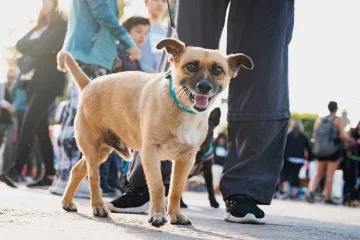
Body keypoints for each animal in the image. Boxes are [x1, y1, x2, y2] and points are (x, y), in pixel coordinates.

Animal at [56, 38, 253, 227]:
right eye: (190, 66)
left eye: (218, 70)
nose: (204, 86)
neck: (181, 107)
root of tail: (89, 84)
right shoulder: (151, 153)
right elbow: (158, 186)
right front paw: (157, 215)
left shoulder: (185, 159)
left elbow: (176, 190)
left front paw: (176, 215)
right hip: (92, 148)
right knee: (93, 177)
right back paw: (98, 206)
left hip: (102, 151)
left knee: (77, 170)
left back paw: (67, 202)